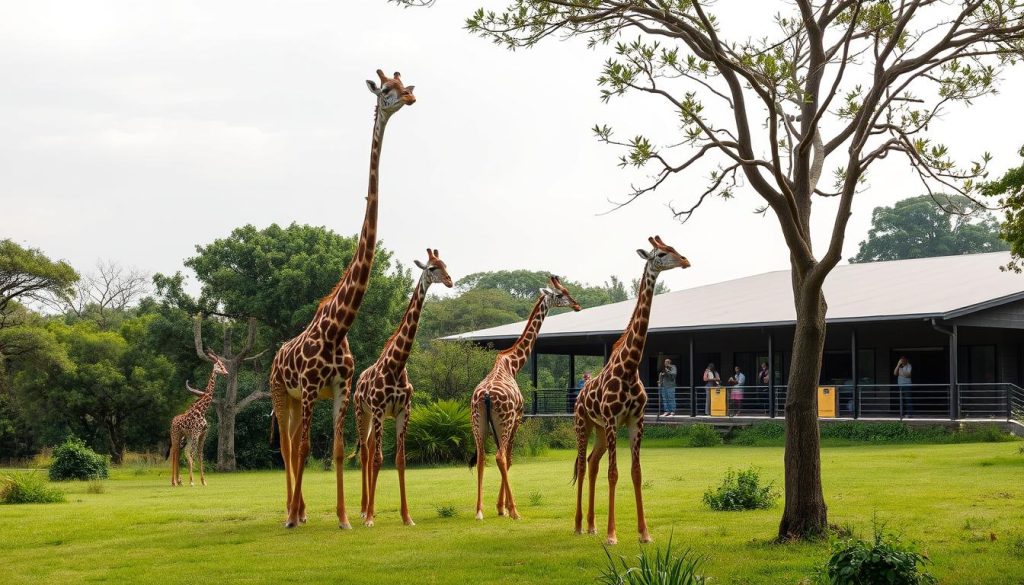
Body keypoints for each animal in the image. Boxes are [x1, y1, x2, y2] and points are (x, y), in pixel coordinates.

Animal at [167, 351, 228, 487]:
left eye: (223, 365)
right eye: (220, 365)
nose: (226, 373)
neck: (202, 410)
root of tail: (173, 420)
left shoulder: (203, 434)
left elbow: (200, 455)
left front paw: (203, 480)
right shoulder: (196, 433)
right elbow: (191, 454)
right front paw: (191, 481)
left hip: (184, 437)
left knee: (179, 452)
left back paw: (178, 481)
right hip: (175, 435)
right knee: (174, 452)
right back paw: (174, 481)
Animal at [268, 68, 416, 529]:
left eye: (404, 84)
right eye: (385, 90)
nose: (409, 98)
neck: (338, 326)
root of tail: (275, 356)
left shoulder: (339, 388)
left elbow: (333, 450)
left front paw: (345, 517)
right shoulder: (310, 388)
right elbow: (302, 450)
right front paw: (295, 516)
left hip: (300, 399)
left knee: (294, 445)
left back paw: (301, 510)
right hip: (282, 393)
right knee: (286, 447)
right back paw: (290, 512)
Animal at [353, 248, 453, 527]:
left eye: (446, 264)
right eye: (431, 268)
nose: (450, 281)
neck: (397, 366)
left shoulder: (402, 412)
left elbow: (400, 460)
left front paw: (407, 516)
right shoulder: (378, 410)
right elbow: (378, 459)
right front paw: (370, 519)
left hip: (375, 417)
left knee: (369, 452)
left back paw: (369, 507)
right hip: (361, 412)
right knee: (365, 455)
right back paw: (364, 510)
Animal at [471, 275, 581, 521]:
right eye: (561, 294)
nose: (577, 305)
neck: (511, 363)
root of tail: (485, 396)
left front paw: (498, 507)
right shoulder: (519, 417)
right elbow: (510, 459)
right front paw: (503, 507)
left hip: (477, 423)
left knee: (482, 457)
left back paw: (479, 511)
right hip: (505, 421)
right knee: (500, 457)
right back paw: (515, 511)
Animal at [573, 236, 690, 545]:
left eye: (674, 248)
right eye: (661, 253)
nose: (685, 260)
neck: (629, 366)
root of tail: (578, 396)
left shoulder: (636, 421)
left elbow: (636, 472)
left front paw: (644, 533)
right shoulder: (614, 420)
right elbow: (614, 473)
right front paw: (613, 535)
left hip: (600, 430)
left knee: (592, 463)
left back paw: (592, 525)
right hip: (584, 424)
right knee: (582, 465)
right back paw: (578, 525)